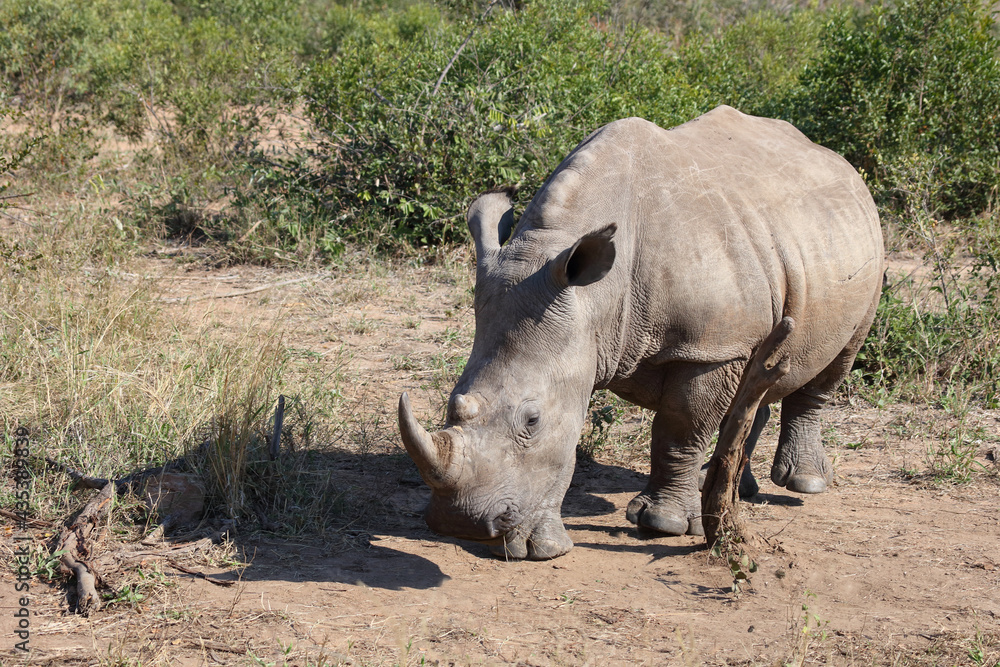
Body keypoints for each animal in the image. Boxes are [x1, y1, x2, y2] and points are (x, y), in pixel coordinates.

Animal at [398, 105, 884, 560]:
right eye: (453, 401)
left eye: (532, 421)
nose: (461, 523)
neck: (596, 299)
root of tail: (836, 161)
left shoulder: (708, 347)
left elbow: (680, 427)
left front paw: (662, 524)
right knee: (760, 378)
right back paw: (729, 489)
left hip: (865, 251)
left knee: (835, 362)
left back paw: (806, 483)